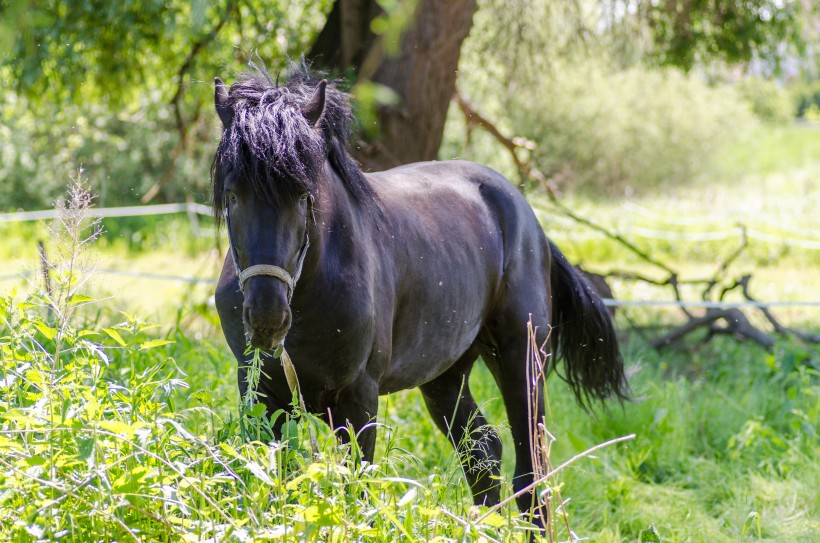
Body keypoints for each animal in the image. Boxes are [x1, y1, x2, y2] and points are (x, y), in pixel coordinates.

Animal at [211, 66, 628, 520]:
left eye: (305, 195)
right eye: (232, 194)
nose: (267, 318)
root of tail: (528, 219)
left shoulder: (357, 399)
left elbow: (354, 491)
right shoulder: (262, 394)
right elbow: (275, 484)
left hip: (522, 358)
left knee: (530, 474)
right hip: (446, 374)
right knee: (482, 450)